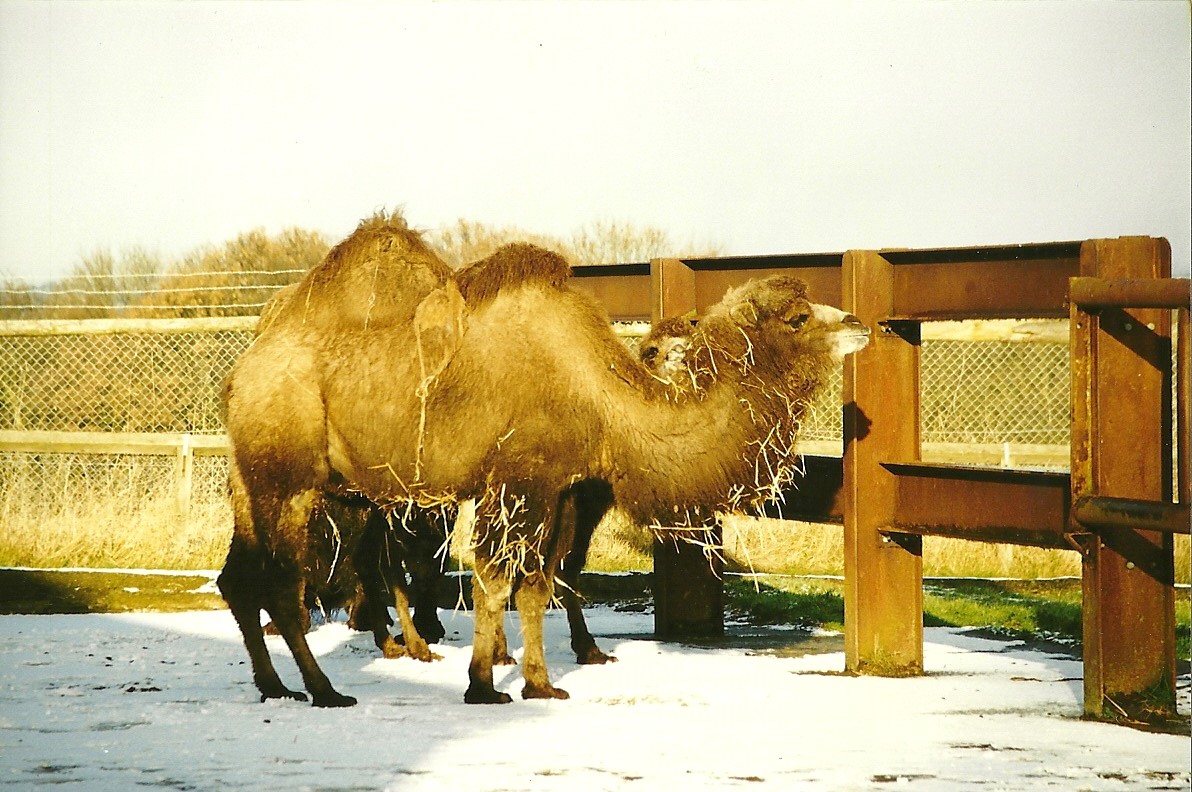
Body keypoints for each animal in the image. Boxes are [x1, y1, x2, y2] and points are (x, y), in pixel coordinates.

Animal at [218, 213, 869, 707]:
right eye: (799, 316)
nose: (860, 323)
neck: (599, 398)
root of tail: (242, 373)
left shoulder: (559, 486)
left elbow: (537, 584)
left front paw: (539, 683)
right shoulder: (518, 480)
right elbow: (495, 581)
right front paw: (485, 685)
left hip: (259, 482)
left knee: (240, 577)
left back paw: (275, 686)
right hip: (289, 482)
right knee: (284, 583)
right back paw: (326, 690)